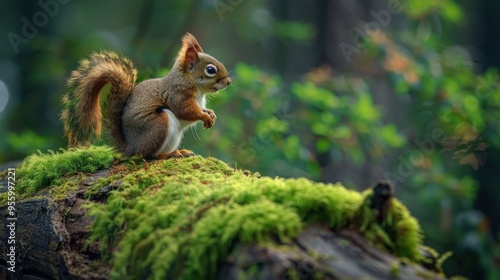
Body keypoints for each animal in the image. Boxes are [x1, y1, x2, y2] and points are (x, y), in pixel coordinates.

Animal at [60, 33, 230, 159]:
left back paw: (180, 151)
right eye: (210, 70)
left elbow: (201, 109)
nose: (229, 81)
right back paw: (170, 154)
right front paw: (205, 117)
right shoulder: (177, 95)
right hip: (158, 125)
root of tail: (131, 147)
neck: (197, 90)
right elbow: (186, 111)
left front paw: (211, 114)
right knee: (148, 155)